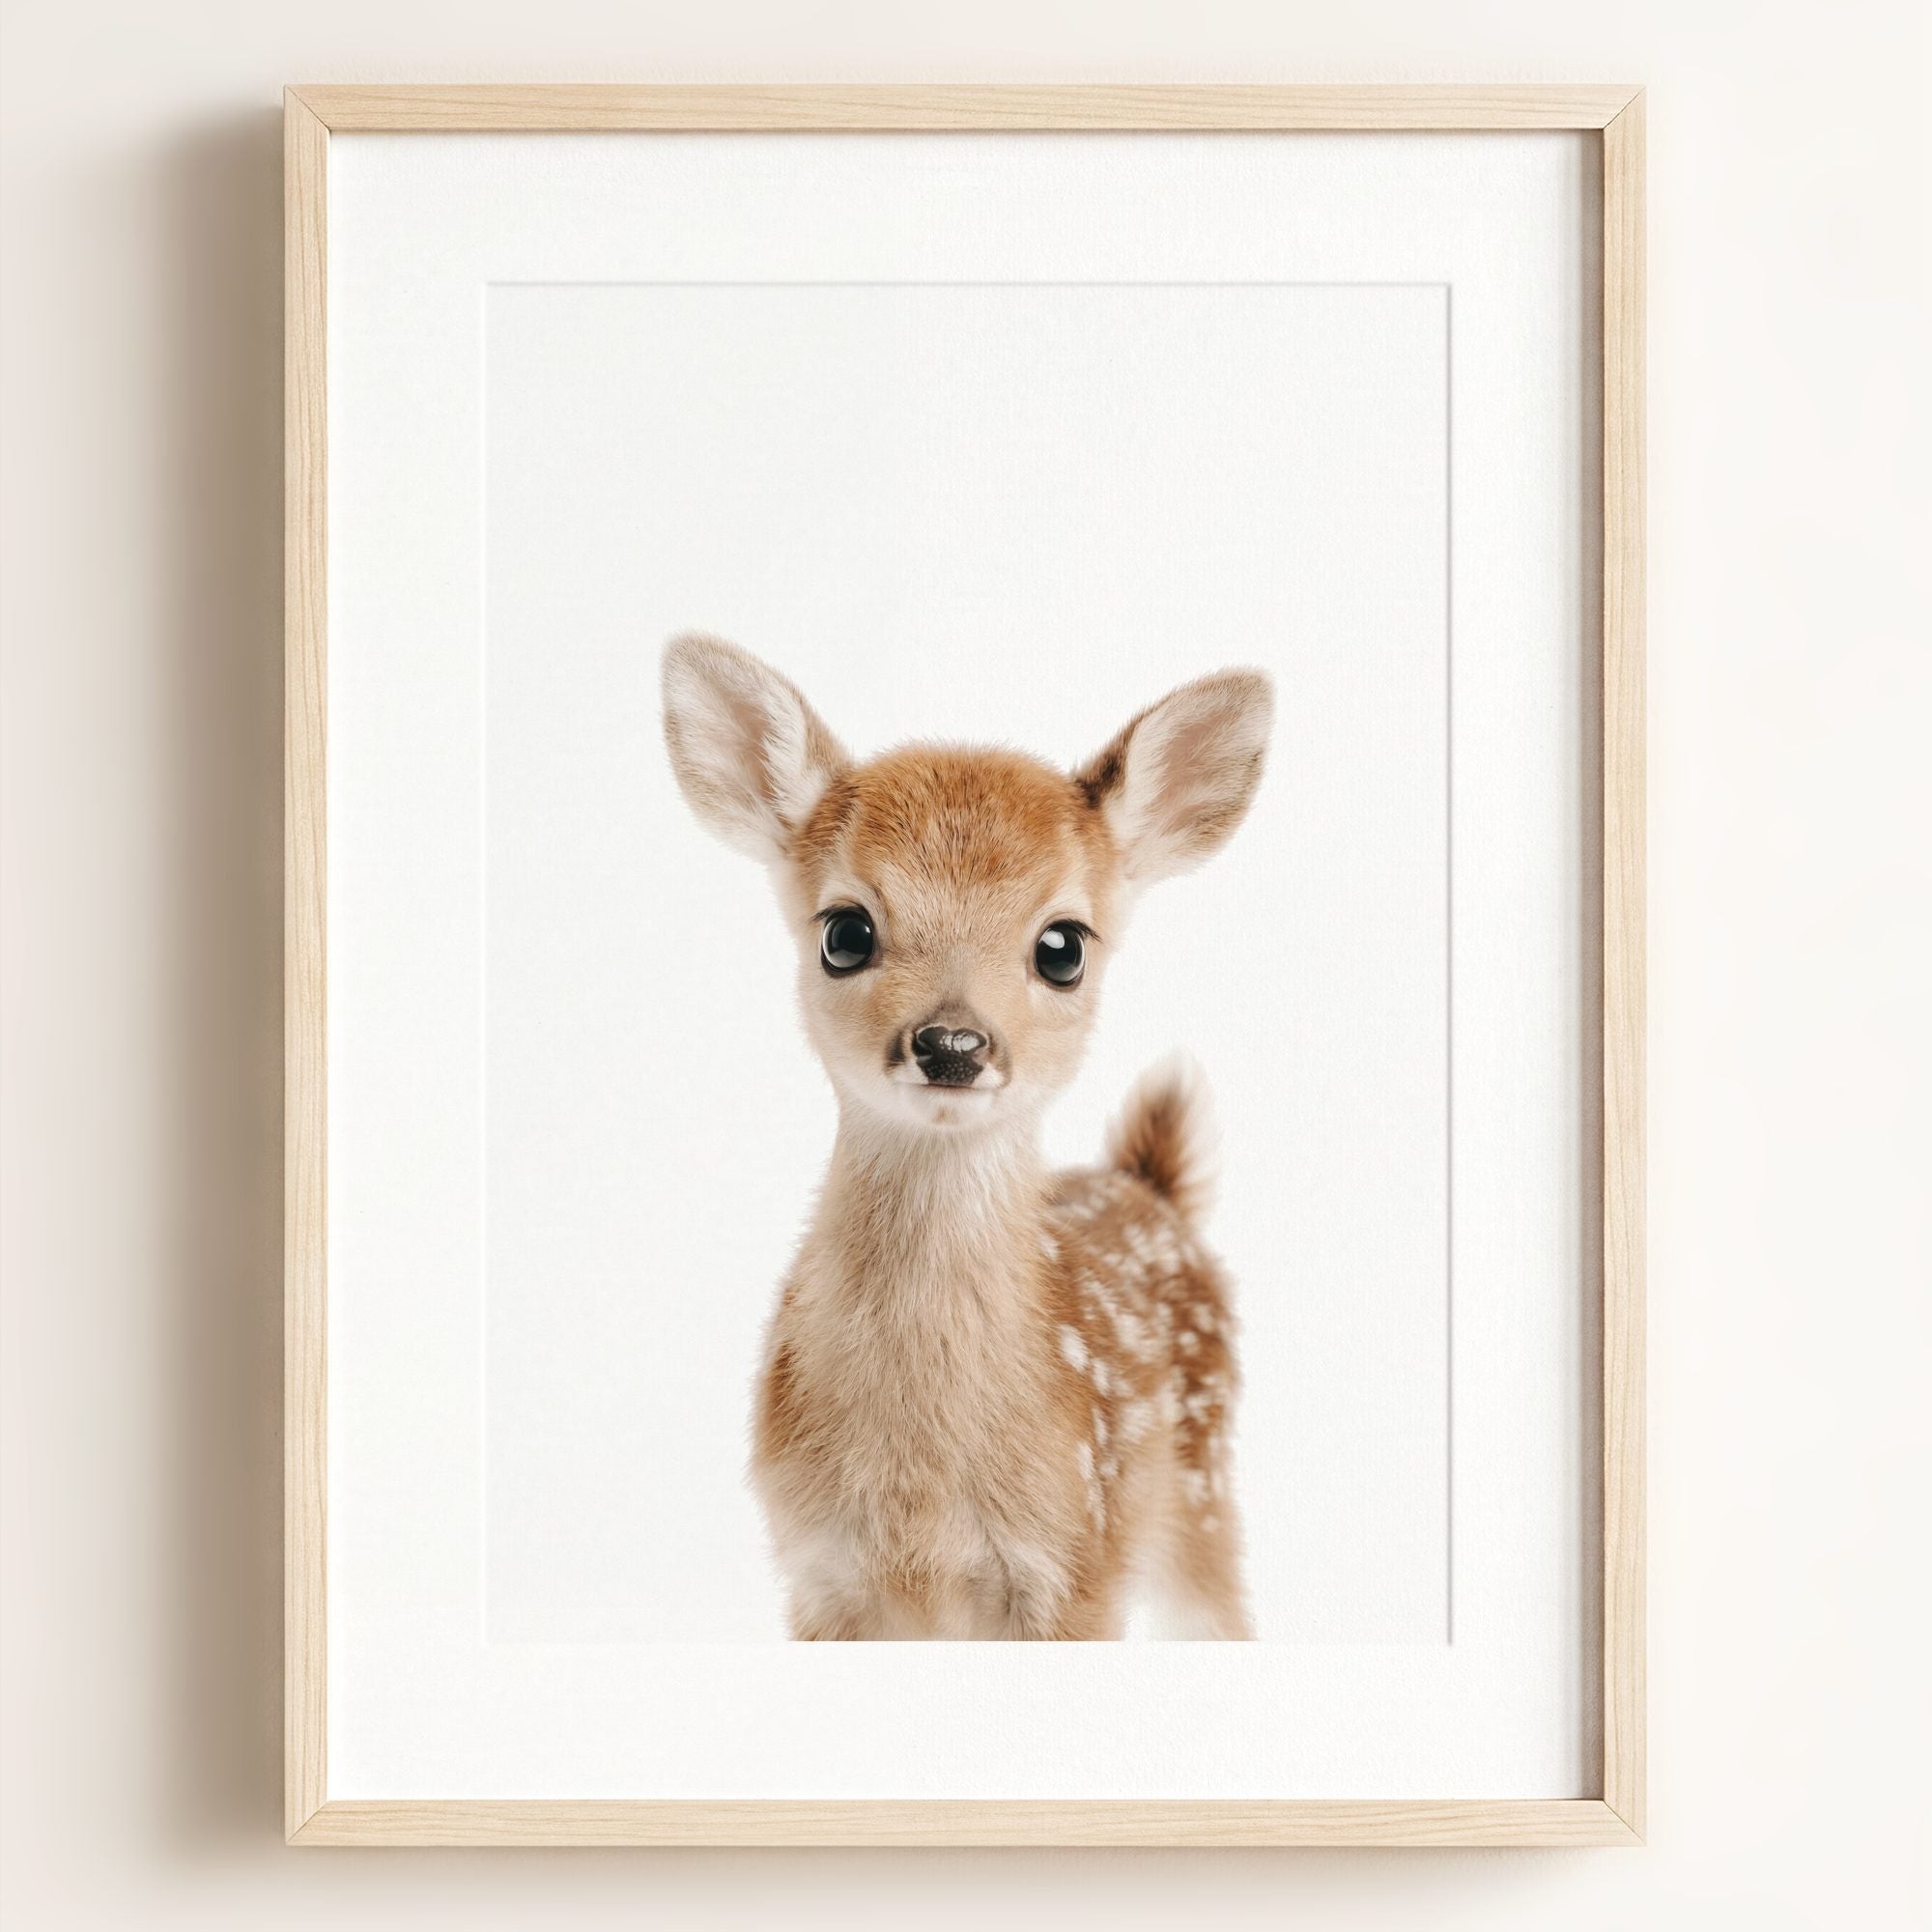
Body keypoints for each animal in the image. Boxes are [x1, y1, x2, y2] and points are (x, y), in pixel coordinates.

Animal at [661, 635, 1273, 1639]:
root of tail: (1151, 1186)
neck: (921, 1497)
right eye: (845, 932)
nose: (952, 1044)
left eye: (1063, 946)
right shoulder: (818, 1573)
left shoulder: (1076, 1564)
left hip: (1203, 1493)